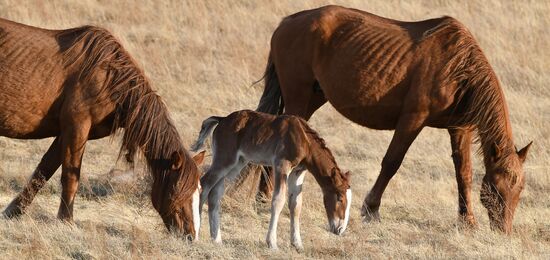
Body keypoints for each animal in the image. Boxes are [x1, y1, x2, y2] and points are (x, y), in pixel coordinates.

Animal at [0, 18, 206, 240]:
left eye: (199, 190)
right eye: (178, 190)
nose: (190, 236)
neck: (108, 76)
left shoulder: (65, 134)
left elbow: (43, 171)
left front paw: (13, 212)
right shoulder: (77, 128)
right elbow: (70, 177)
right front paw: (66, 221)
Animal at [192, 109, 352, 250]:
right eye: (340, 198)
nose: (340, 229)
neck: (304, 140)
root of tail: (222, 119)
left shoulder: (298, 172)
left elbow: (296, 205)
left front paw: (297, 244)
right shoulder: (282, 165)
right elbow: (278, 200)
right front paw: (272, 243)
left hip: (238, 163)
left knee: (216, 192)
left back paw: (217, 239)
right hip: (225, 160)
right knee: (205, 185)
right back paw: (197, 231)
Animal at [258, 5, 536, 234]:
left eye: (520, 189)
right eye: (496, 187)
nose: (503, 230)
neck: (458, 69)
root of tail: (287, 22)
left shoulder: (460, 129)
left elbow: (463, 173)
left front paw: (467, 221)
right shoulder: (412, 120)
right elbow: (392, 163)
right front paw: (371, 209)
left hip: (314, 98)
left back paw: (262, 198)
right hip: (298, 98)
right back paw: (266, 200)